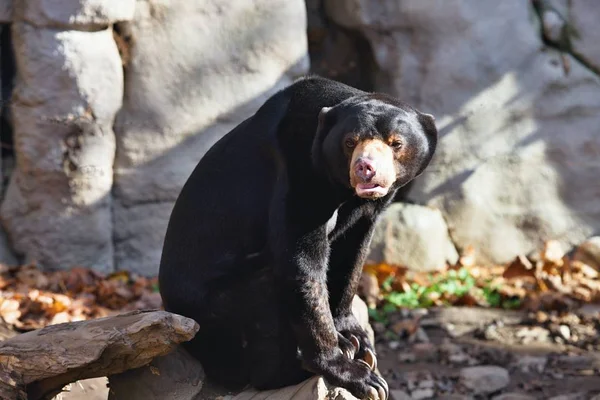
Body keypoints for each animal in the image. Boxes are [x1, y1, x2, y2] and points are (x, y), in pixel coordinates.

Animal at [157, 76, 438, 400]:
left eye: (396, 143)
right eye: (349, 142)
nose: (365, 169)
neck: (345, 191)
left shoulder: (366, 211)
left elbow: (351, 256)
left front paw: (356, 338)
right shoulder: (299, 171)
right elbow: (301, 261)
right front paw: (359, 375)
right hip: (218, 307)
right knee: (264, 298)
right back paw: (289, 370)